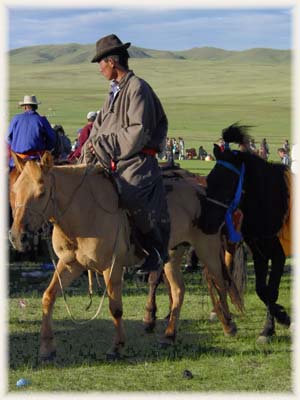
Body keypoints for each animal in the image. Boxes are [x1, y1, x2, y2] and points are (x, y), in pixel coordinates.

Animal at [9, 152, 244, 360]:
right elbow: (48, 297)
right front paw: (46, 348)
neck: (85, 210)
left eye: (41, 192)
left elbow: (115, 308)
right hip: (172, 253)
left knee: (220, 283)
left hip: (207, 247)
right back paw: (169, 335)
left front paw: (117, 346)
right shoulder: (70, 264)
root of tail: (200, 188)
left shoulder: (111, 267)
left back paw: (228, 325)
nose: (17, 237)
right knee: (179, 290)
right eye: (15, 190)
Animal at [198, 123, 292, 342]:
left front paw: (275, 323)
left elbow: (270, 291)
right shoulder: (259, 253)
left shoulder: (278, 255)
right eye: (209, 180)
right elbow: (262, 290)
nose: (205, 222)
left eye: (226, 183)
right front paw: (274, 323)